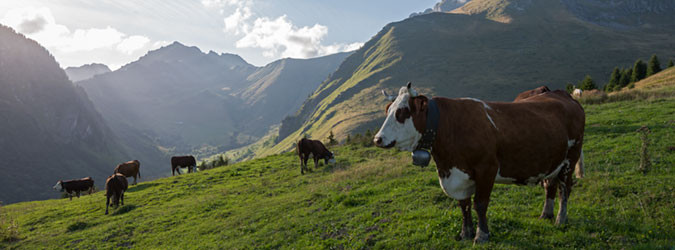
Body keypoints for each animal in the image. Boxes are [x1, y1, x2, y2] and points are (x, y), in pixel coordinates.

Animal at [374, 83, 588, 243]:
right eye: (388, 110)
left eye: (402, 112)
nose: (377, 139)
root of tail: (563, 94)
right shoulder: (459, 175)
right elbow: (464, 205)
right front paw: (465, 233)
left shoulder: (487, 169)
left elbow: (480, 204)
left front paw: (482, 235)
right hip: (553, 161)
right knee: (550, 186)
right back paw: (546, 214)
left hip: (571, 157)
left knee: (564, 188)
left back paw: (561, 218)